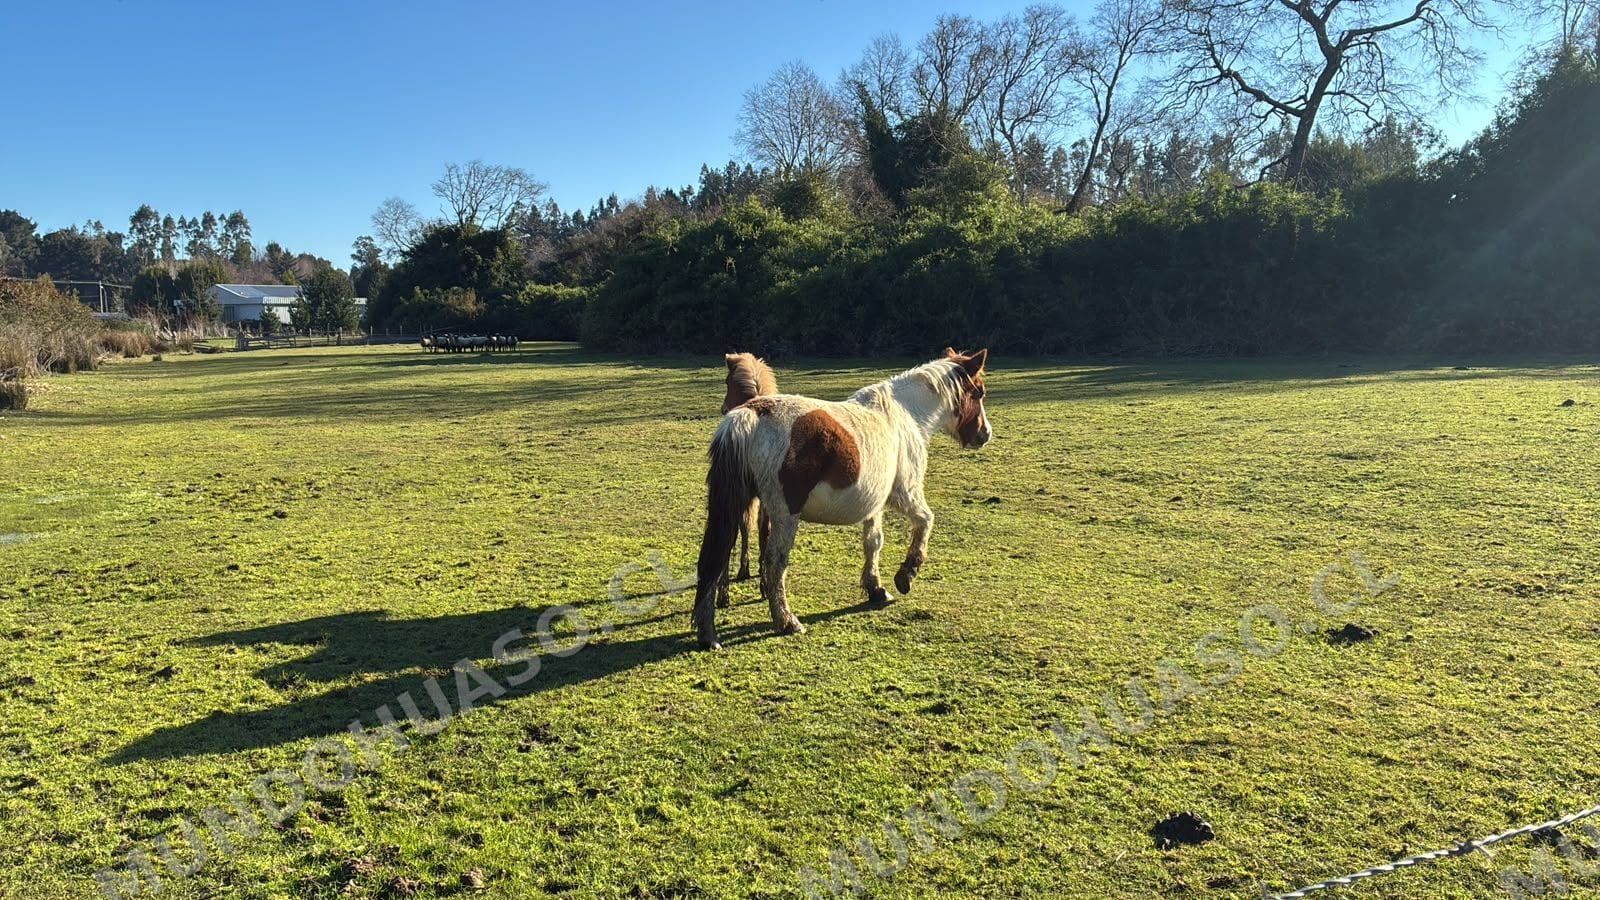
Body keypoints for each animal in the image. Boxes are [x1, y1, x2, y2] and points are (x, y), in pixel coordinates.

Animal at [691, 348, 992, 650]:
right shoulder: (905, 494)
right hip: (784, 515)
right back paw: (787, 621)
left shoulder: (874, 505)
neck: (906, 415)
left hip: (734, 508)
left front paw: (876, 588)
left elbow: (873, 543)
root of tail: (751, 414)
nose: (985, 433)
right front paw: (906, 574)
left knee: (713, 562)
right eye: (978, 392)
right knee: (774, 563)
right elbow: (926, 522)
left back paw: (708, 633)